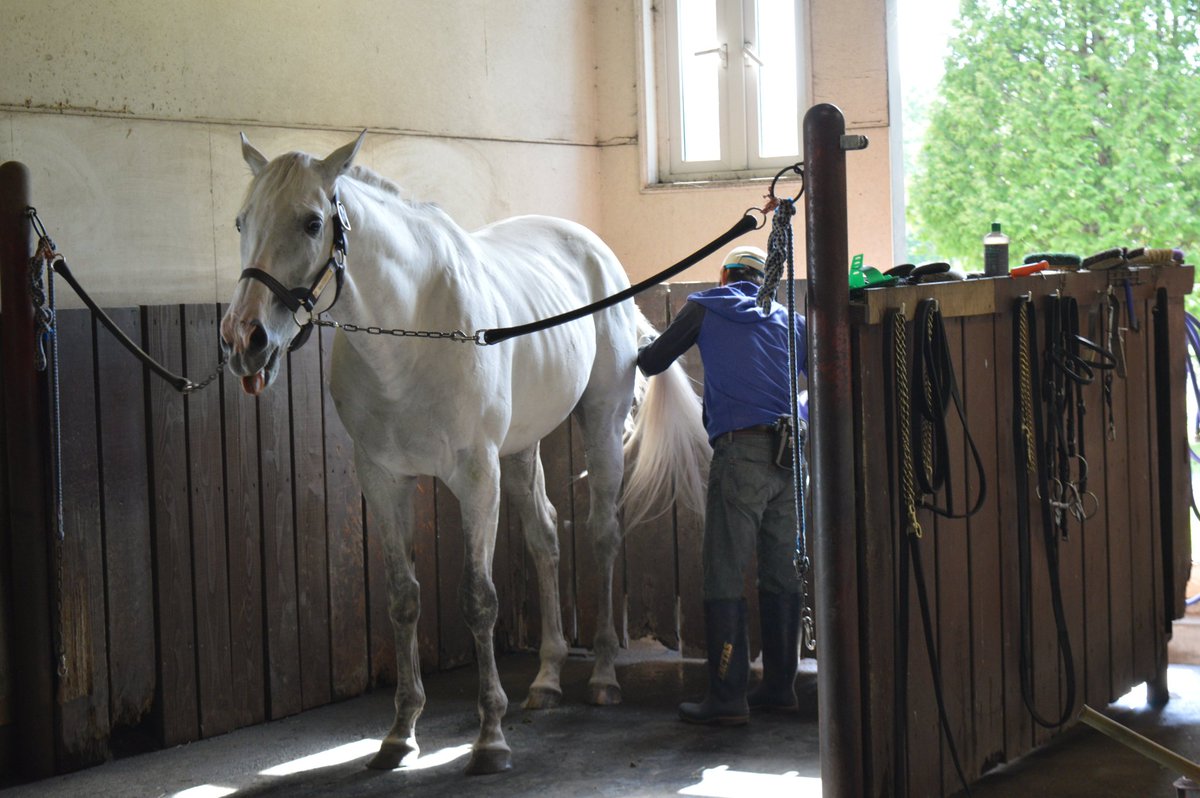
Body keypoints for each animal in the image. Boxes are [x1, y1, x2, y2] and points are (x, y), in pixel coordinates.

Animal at [219, 131, 709, 775]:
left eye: (311, 222)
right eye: (240, 220)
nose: (243, 340)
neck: (410, 334)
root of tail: (599, 254)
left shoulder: (476, 477)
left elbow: (479, 599)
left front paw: (490, 738)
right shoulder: (383, 479)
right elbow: (403, 598)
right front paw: (400, 733)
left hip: (599, 425)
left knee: (603, 534)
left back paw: (603, 675)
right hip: (521, 450)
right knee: (545, 536)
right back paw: (547, 679)